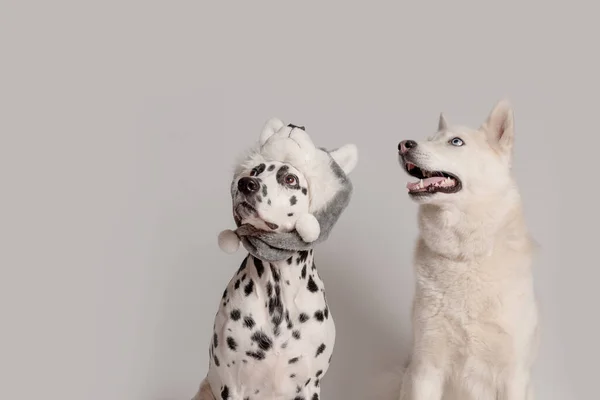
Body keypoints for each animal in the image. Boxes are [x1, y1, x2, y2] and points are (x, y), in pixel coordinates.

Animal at [394, 101, 540, 400]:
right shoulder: (425, 368)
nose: (403, 145)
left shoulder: (513, 376)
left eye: (456, 142)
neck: (465, 257)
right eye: (429, 138)